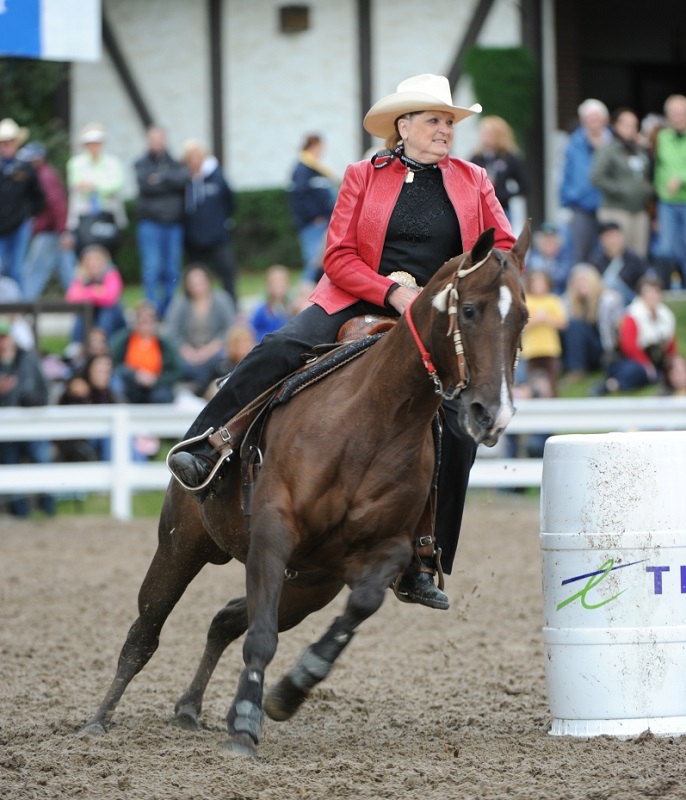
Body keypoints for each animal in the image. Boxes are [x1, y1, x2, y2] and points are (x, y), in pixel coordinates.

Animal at [82, 223, 530, 757]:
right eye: (469, 310)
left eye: (523, 316)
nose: (492, 413)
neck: (374, 420)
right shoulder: (274, 533)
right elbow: (260, 638)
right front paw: (245, 724)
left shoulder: (385, 552)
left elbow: (356, 608)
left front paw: (289, 691)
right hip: (181, 545)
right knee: (145, 632)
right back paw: (99, 719)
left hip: (306, 586)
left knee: (225, 620)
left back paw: (190, 708)